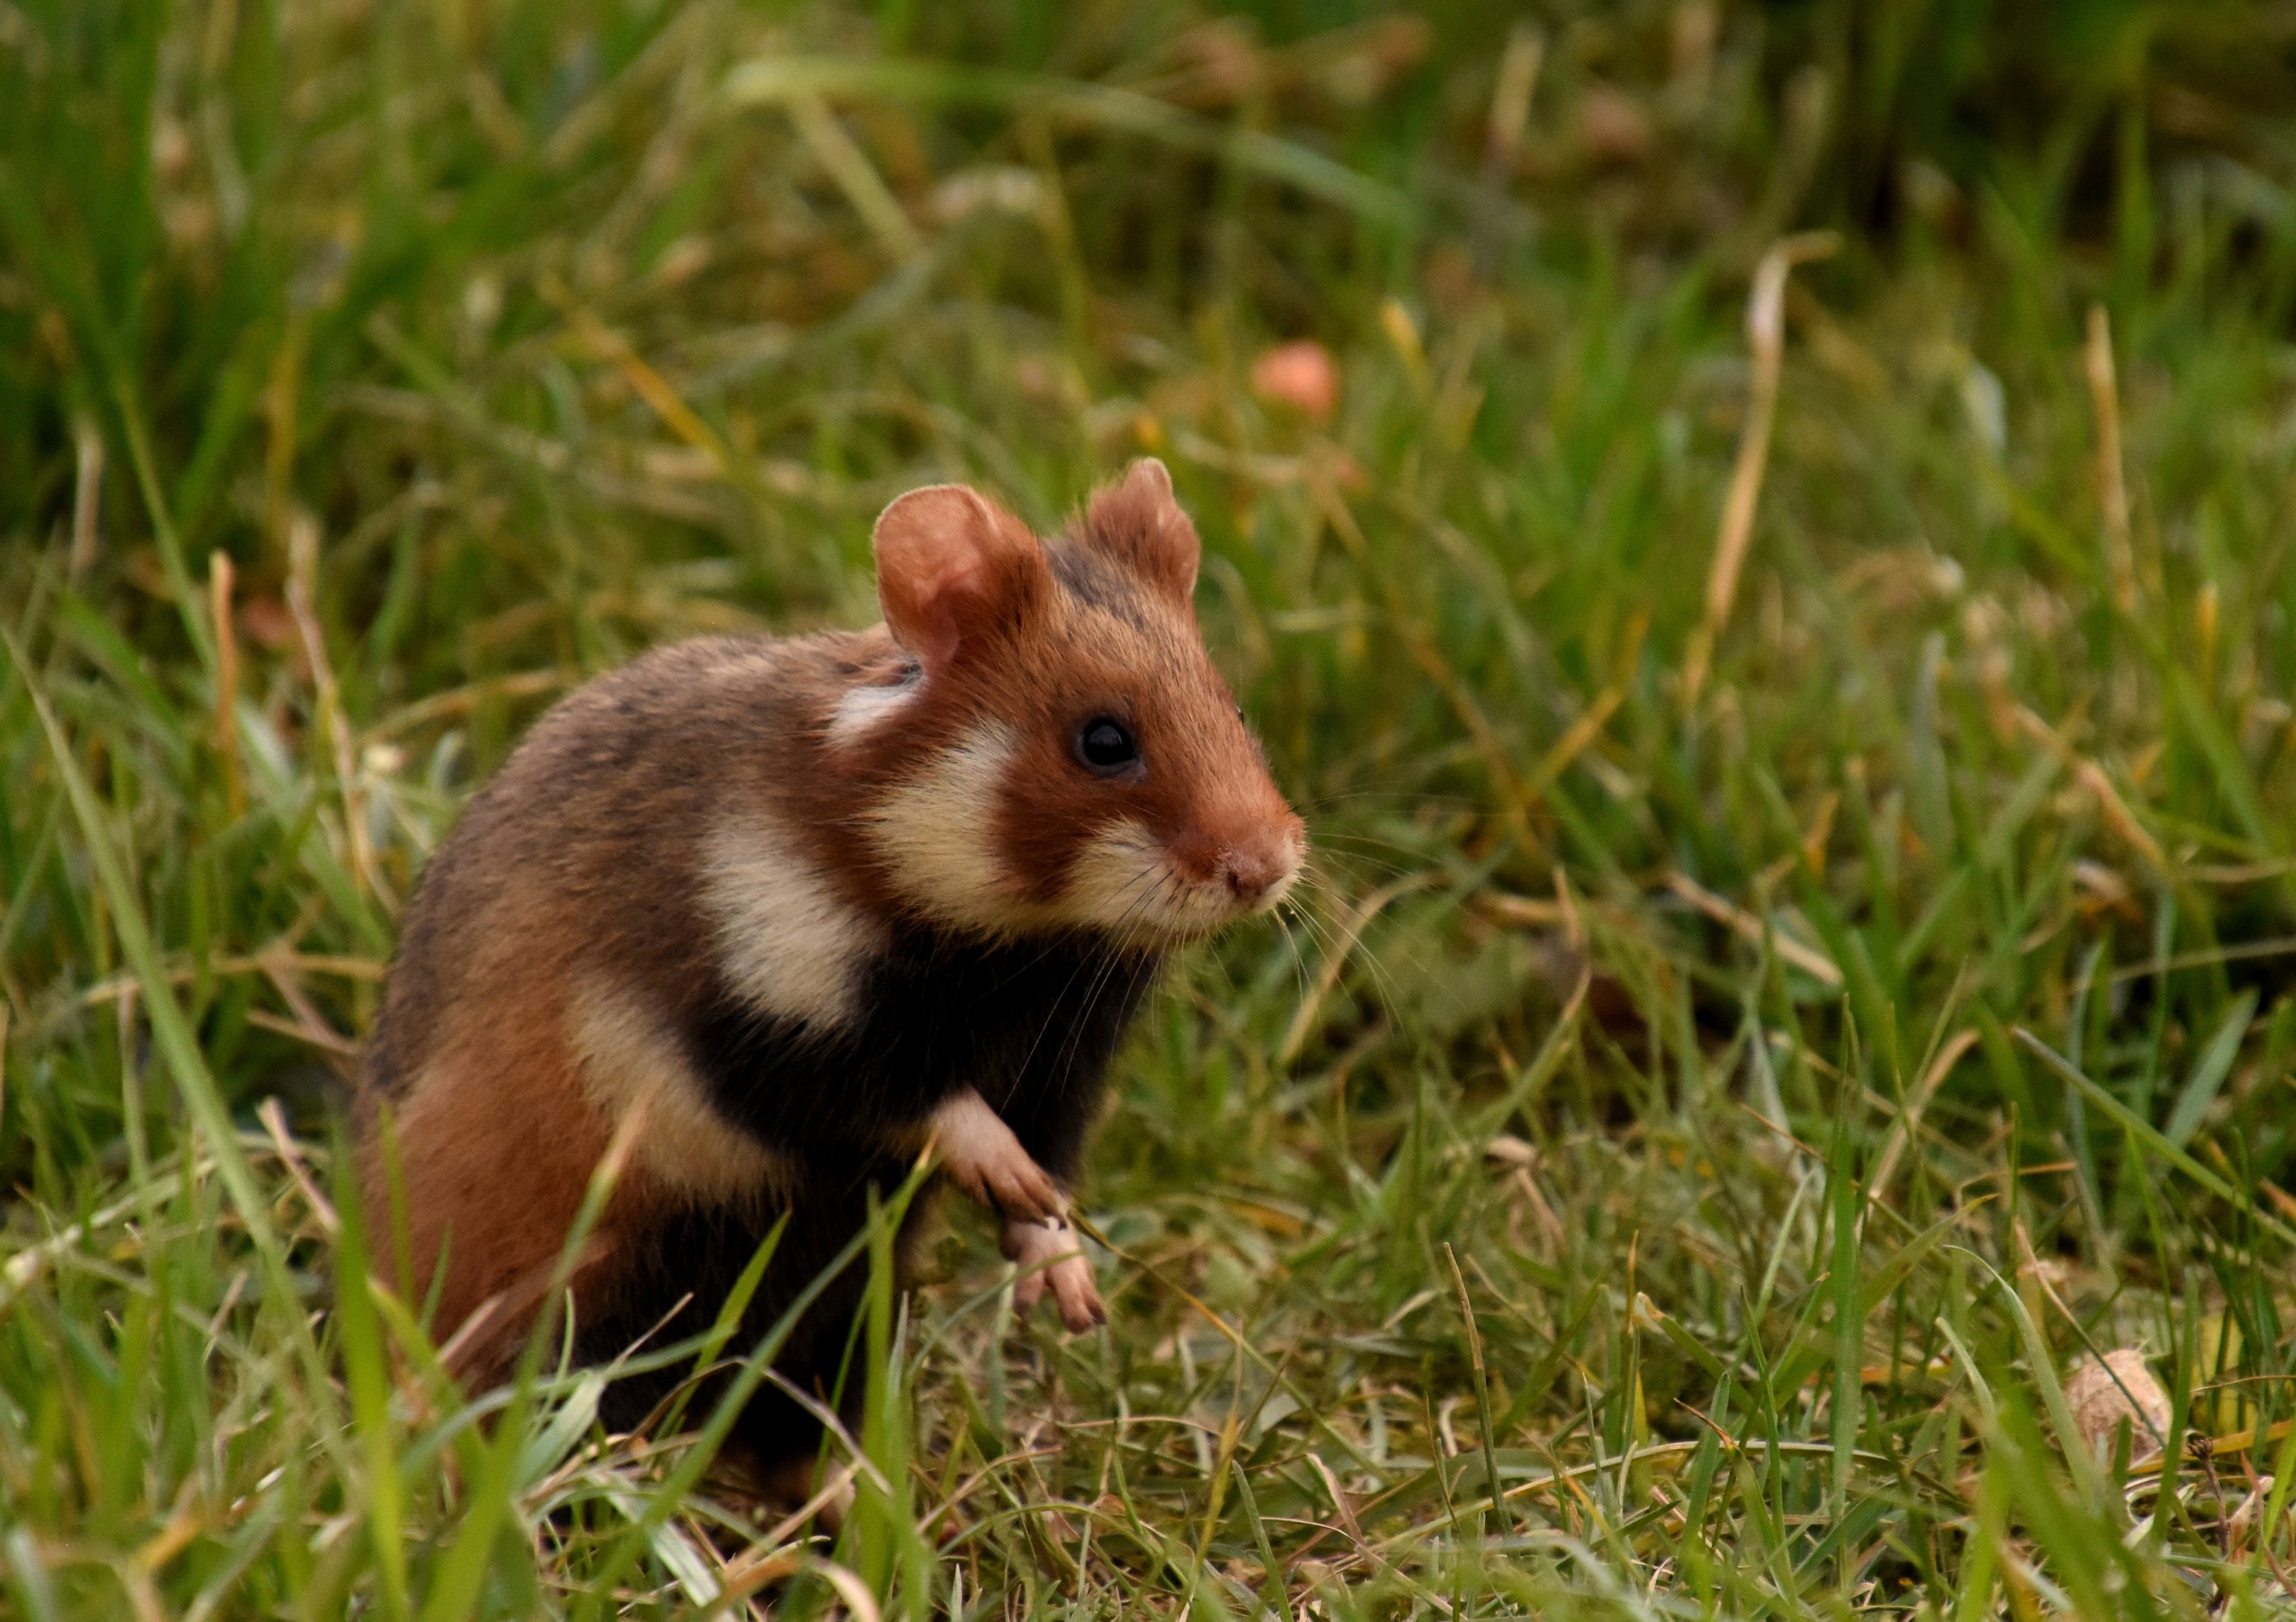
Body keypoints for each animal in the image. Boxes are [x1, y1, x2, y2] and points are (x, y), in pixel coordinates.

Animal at [353, 459, 1305, 1481]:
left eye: (1232, 708)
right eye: (1104, 741)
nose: (1266, 869)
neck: (1014, 946)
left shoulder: (1065, 1059)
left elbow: (1047, 1168)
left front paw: (1070, 1289)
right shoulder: (753, 1017)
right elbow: (923, 1100)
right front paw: (1007, 1181)